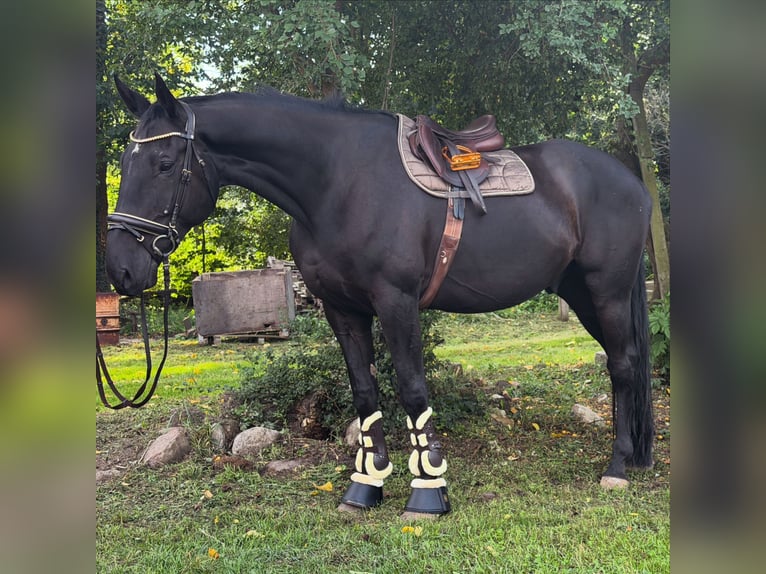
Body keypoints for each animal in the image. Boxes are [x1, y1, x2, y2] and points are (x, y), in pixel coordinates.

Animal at [106, 73, 654, 517]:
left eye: (163, 163)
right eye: (125, 163)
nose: (121, 269)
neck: (335, 182)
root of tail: (631, 181)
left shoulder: (396, 301)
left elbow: (411, 389)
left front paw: (428, 491)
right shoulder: (342, 309)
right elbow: (364, 390)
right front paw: (366, 485)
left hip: (607, 290)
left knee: (623, 364)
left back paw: (617, 467)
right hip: (581, 294)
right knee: (621, 361)